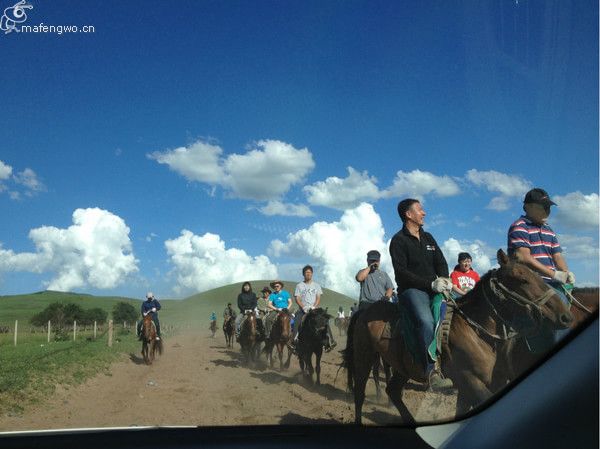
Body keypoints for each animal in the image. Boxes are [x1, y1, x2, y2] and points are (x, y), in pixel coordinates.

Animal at [342, 248, 572, 424]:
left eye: (537, 275)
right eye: (522, 279)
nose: (565, 316)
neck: (477, 332)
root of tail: (366, 311)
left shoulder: (477, 385)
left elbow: (461, 411)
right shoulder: (468, 379)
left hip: (403, 367)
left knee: (393, 391)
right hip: (364, 356)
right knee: (360, 393)